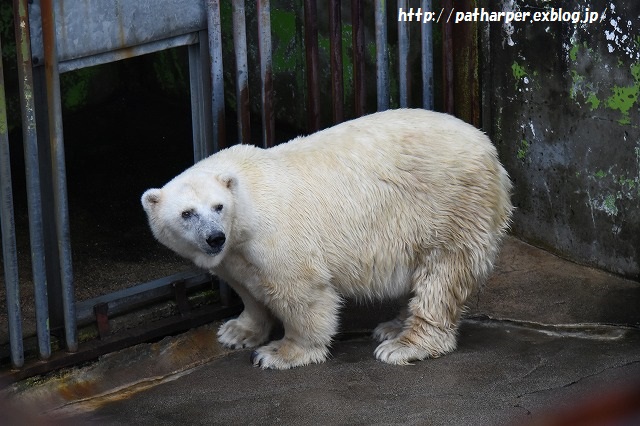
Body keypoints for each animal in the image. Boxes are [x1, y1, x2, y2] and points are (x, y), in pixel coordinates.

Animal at [142, 109, 512, 370]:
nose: (214, 238)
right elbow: (246, 287)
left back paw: (403, 344)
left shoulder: (273, 236)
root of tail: (489, 149)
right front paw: (236, 332)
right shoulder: (235, 254)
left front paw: (279, 353)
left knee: (442, 274)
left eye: (218, 206)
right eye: (187, 213)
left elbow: (300, 292)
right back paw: (392, 327)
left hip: (449, 206)